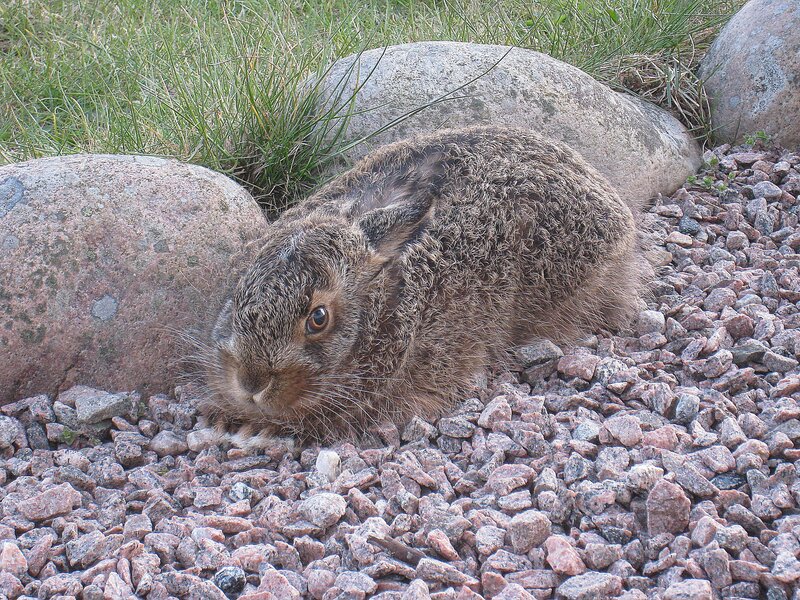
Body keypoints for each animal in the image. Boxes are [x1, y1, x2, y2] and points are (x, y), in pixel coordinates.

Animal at [199, 126, 653, 445]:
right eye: (237, 296)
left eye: (318, 318)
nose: (252, 383)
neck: (385, 299)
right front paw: (226, 417)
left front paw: (257, 429)